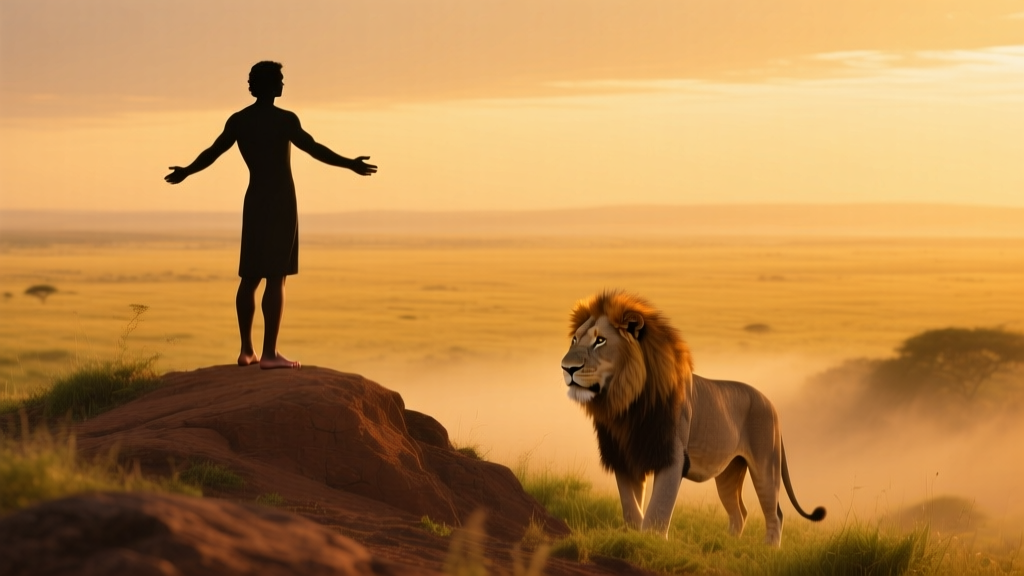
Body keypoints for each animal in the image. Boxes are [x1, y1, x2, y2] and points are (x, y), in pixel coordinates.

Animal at [561, 291, 825, 546]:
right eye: (574, 339)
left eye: (600, 340)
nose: (567, 368)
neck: (626, 405)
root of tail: (771, 404)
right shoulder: (625, 457)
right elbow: (630, 506)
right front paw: (633, 537)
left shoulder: (673, 457)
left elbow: (658, 508)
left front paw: (652, 542)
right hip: (729, 472)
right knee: (739, 512)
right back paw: (729, 546)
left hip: (765, 466)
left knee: (775, 513)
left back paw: (768, 550)